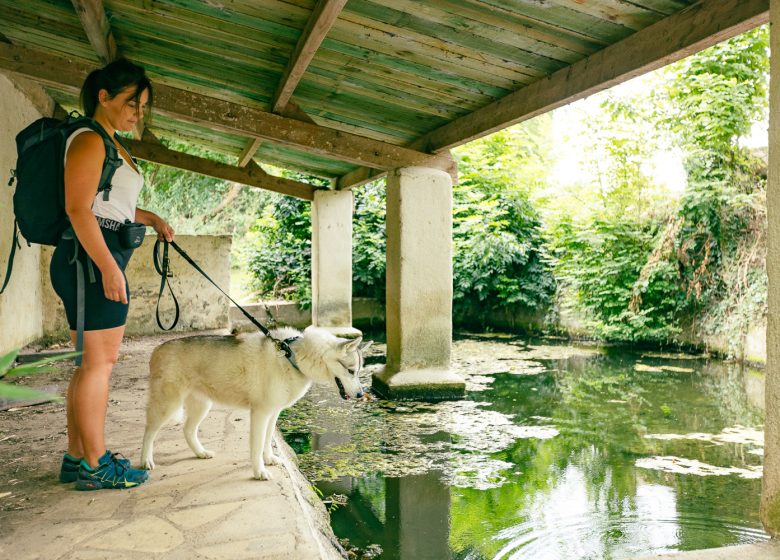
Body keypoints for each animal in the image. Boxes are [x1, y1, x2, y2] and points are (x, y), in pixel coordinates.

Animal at [142, 326, 370, 480]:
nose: (361, 394)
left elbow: (267, 440)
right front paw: (259, 471)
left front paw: (268, 459)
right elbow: (258, 444)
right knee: (149, 432)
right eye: (351, 370)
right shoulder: (260, 413)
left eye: (359, 372)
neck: (292, 356)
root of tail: (157, 350)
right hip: (167, 406)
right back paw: (145, 460)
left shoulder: (273, 413)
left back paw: (201, 453)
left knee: (188, 430)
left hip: (202, 406)